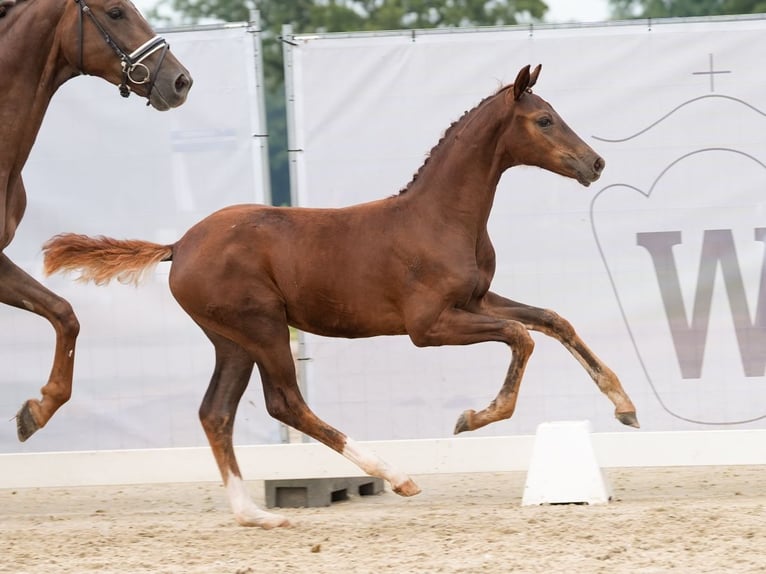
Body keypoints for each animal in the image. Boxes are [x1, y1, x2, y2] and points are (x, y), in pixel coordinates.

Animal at [43, 65, 640, 528]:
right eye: (544, 120)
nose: (595, 163)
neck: (441, 217)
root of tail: (178, 246)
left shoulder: (475, 301)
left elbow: (551, 320)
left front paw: (625, 406)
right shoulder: (429, 327)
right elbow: (522, 336)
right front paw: (473, 418)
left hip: (231, 341)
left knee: (216, 412)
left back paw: (252, 514)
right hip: (262, 328)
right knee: (284, 402)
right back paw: (397, 477)